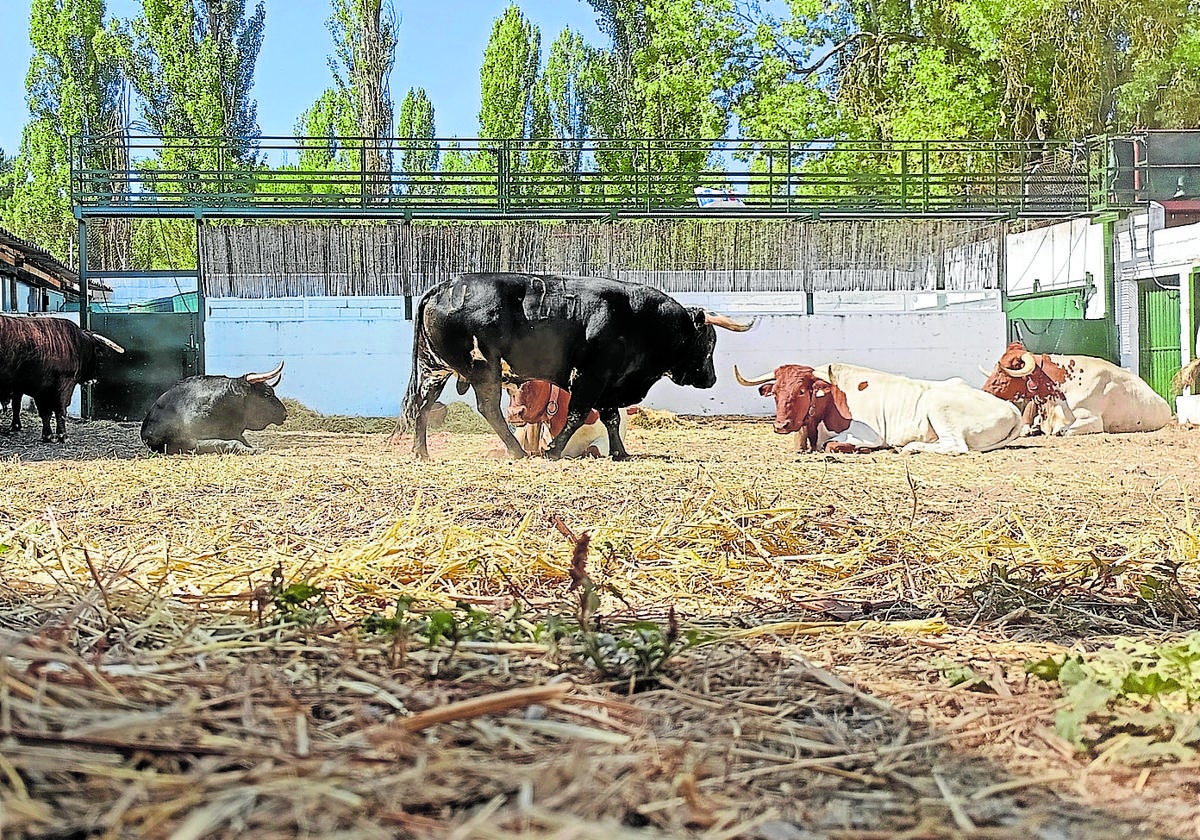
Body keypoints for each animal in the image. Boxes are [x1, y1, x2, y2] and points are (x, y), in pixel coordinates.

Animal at [0, 314, 124, 444]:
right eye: (96, 353)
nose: (93, 380)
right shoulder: (65, 384)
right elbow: (60, 410)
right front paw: (63, 436)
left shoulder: (41, 390)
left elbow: (45, 413)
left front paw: (47, 435)